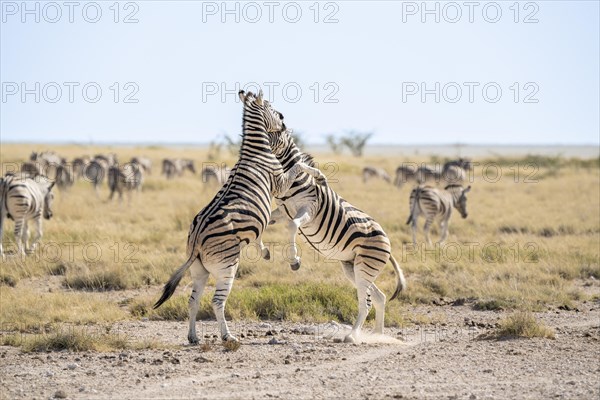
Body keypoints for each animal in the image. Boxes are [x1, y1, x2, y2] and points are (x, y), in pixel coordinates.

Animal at [152, 90, 326, 344]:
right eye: (273, 108)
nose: (285, 120)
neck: (256, 150)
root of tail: (196, 241)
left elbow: (262, 229)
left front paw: (264, 250)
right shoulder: (280, 183)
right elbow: (299, 166)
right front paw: (319, 174)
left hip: (199, 270)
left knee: (193, 300)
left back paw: (193, 337)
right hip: (227, 266)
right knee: (216, 301)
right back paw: (228, 337)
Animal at [264, 130, 406, 344]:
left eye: (271, 137)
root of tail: (388, 246)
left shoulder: (308, 209)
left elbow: (292, 226)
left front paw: (294, 260)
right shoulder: (283, 212)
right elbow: (268, 221)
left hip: (365, 267)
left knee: (366, 304)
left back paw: (352, 336)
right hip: (354, 268)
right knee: (379, 297)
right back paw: (377, 336)